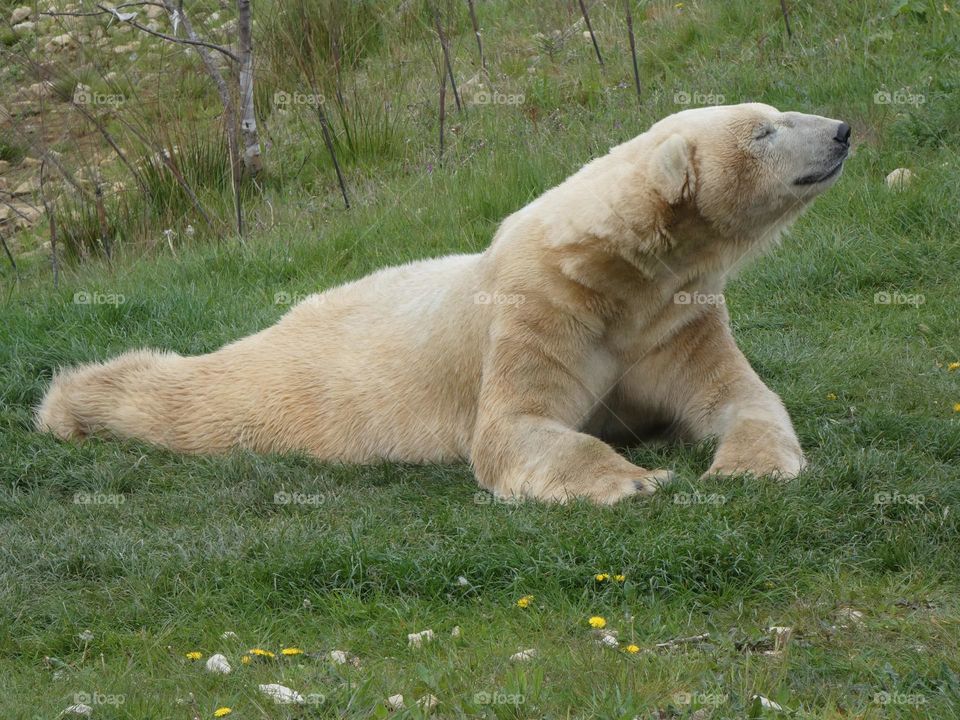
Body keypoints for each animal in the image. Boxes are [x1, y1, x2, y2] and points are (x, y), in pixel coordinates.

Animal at [36, 103, 851, 504]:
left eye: (775, 109)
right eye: (765, 129)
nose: (842, 130)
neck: (618, 275)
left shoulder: (674, 316)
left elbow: (742, 399)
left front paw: (743, 469)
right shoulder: (539, 310)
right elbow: (514, 428)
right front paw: (635, 478)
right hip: (298, 385)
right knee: (200, 398)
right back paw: (71, 403)